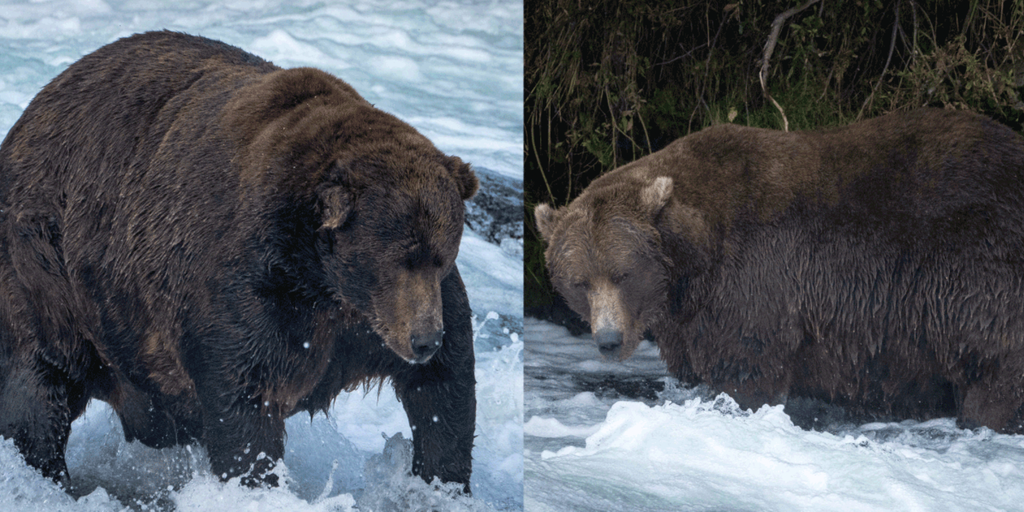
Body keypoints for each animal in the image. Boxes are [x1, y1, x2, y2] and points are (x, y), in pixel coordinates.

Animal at [0, 29, 477, 489]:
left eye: (440, 256)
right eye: (398, 259)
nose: (423, 340)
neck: (321, 278)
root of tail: (33, 109)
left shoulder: (370, 321)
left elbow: (445, 386)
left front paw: (440, 481)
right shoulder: (250, 289)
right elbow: (245, 398)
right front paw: (257, 478)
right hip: (49, 265)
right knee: (42, 382)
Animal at [532, 109, 1024, 432]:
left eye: (623, 274)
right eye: (579, 283)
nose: (609, 340)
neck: (692, 262)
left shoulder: (756, 281)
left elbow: (749, 368)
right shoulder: (690, 316)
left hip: (977, 269)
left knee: (991, 368)